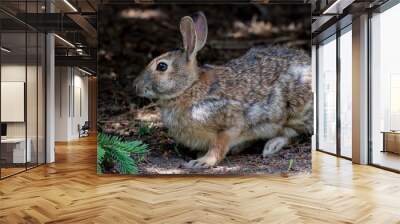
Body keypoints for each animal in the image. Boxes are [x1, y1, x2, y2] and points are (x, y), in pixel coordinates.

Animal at [134, 11, 312, 169]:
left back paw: (271, 146)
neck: (189, 87)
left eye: (162, 66)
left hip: (295, 111)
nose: (136, 87)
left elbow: (219, 147)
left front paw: (202, 162)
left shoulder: (230, 125)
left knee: (294, 134)